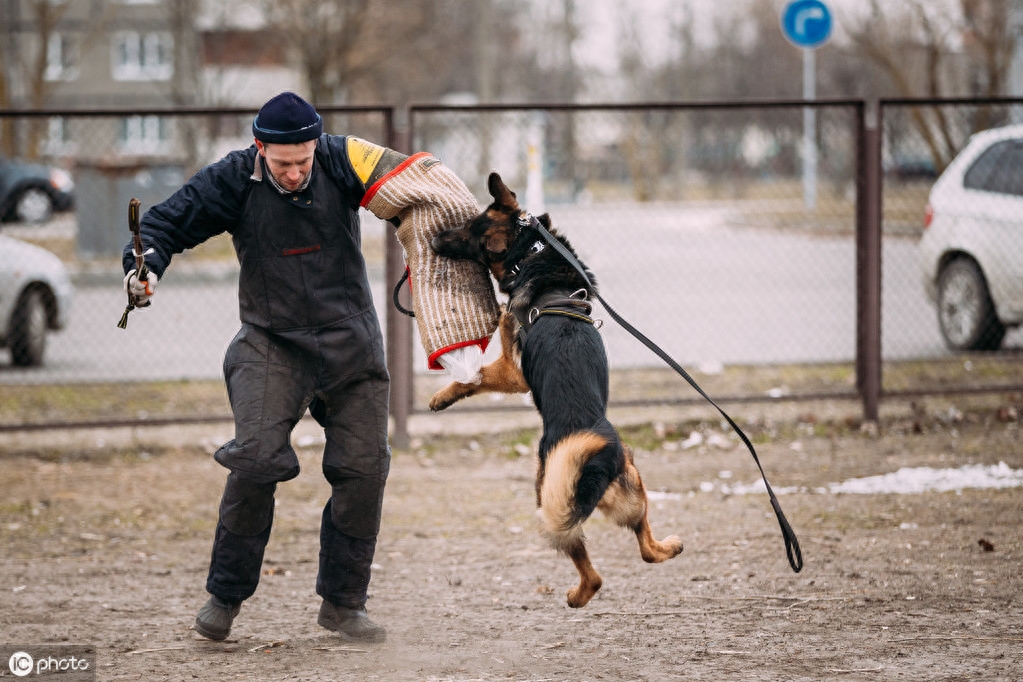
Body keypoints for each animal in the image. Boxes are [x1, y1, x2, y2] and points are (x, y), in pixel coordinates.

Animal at [427, 171, 683, 609]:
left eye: (468, 233)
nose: (434, 237)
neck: (534, 251)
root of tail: (596, 463)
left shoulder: (514, 372)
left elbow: (473, 376)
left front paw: (443, 395)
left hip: (549, 491)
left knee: (591, 571)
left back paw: (578, 595)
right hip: (630, 486)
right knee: (644, 548)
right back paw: (669, 546)